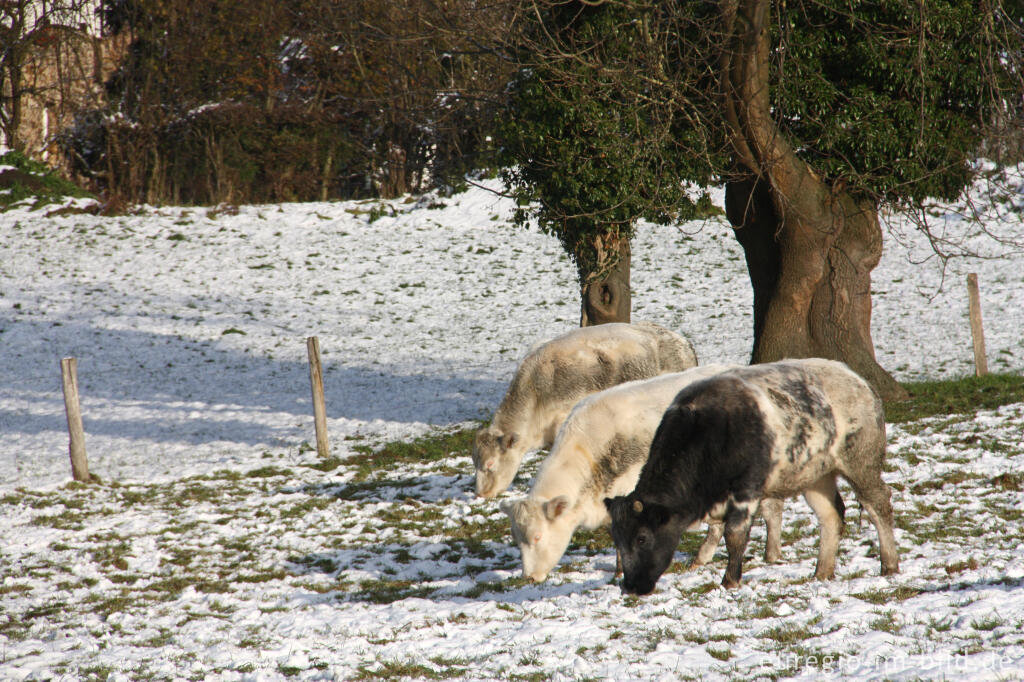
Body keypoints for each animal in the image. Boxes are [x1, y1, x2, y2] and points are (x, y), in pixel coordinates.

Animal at [602, 358, 901, 593]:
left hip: (861, 463)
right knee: (831, 515)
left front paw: (730, 580)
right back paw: (822, 572)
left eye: (642, 538)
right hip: (816, 476)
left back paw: (889, 564)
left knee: (877, 503)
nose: (629, 587)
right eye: (617, 540)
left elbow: (734, 534)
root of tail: (857, 380)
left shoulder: (747, 489)